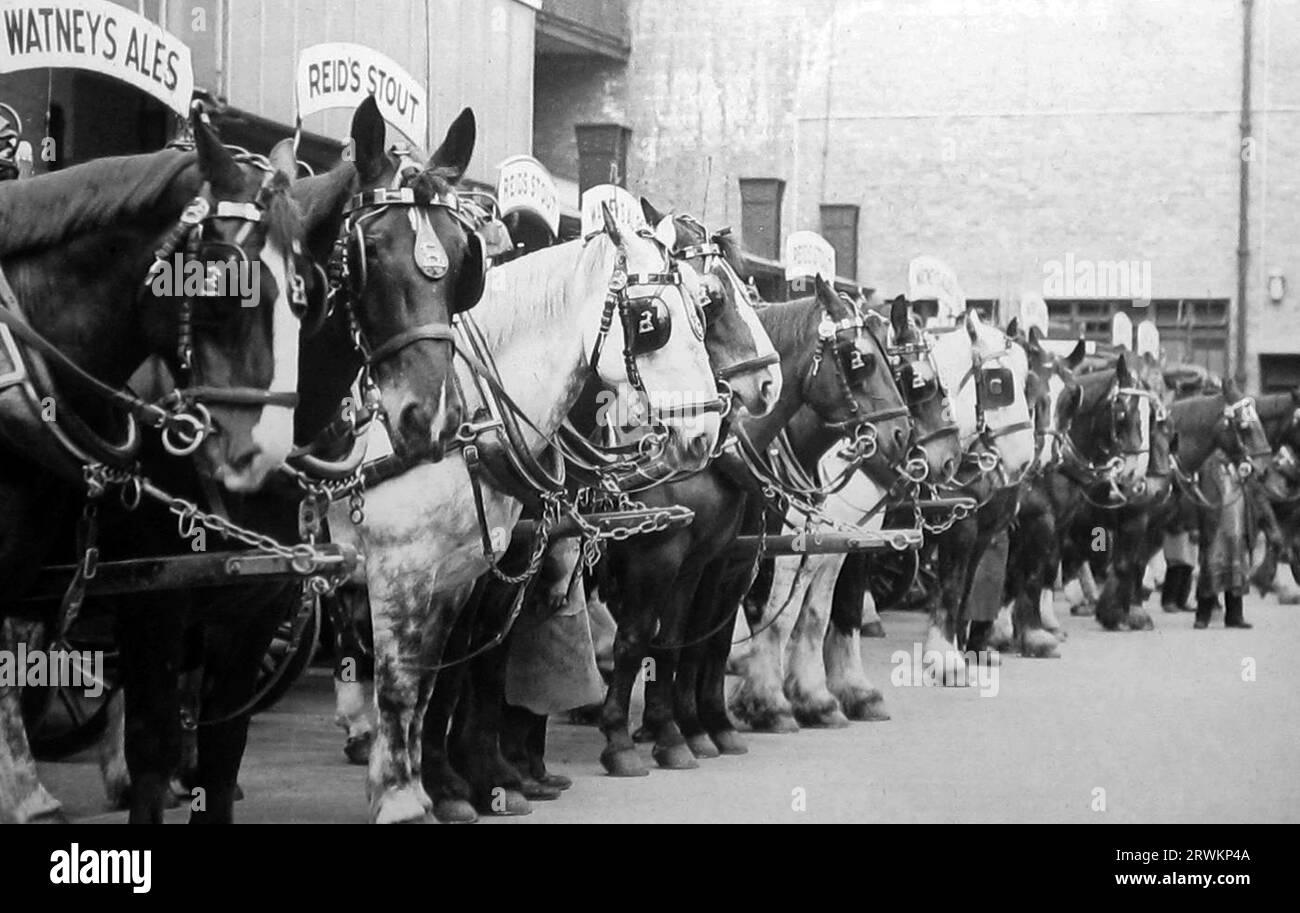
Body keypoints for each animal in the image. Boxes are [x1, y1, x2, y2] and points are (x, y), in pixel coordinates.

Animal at [327, 218, 722, 827]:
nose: (703, 434)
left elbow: (437, 680)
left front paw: (440, 785)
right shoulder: (402, 569)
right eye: (652, 321)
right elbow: (407, 683)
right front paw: (409, 797)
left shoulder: (459, 574)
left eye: (704, 316)